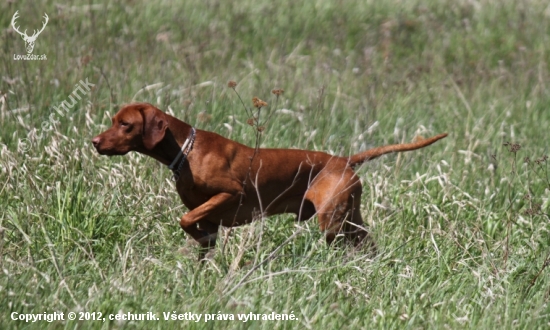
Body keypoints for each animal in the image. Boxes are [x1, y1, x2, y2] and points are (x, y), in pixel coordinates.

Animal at [92, 102, 448, 260]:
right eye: (113, 120)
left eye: (125, 124)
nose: (94, 142)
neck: (187, 151)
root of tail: (343, 160)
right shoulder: (210, 219)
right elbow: (200, 235)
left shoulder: (229, 194)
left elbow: (186, 218)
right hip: (350, 219)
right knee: (369, 244)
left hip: (332, 223)